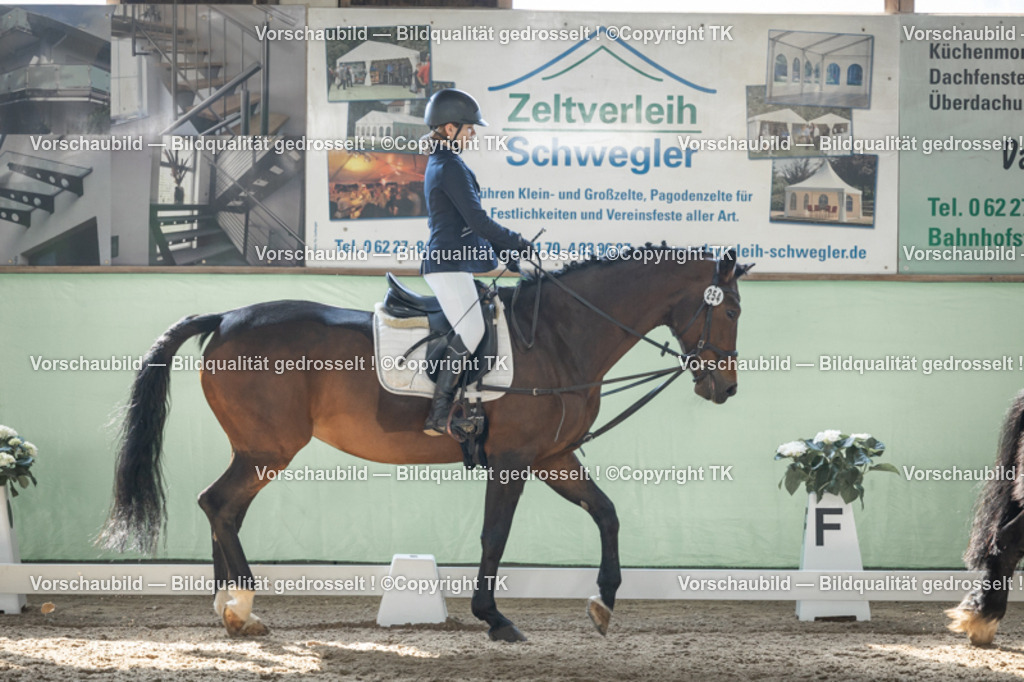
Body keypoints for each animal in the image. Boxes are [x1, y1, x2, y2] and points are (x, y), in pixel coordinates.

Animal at [99, 245, 750, 642]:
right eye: (732, 311)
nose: (725, 387)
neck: (559, 336)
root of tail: (227, 317)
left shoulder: (553, 458)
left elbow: (608, 514)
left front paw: (604, 602)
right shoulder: (513, 462)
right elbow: (495, 535)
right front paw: (494, 618)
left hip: (256, 450)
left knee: (222, 508)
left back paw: (230, 610)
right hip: (268, 450)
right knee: (219, 504)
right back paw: (240, 609)